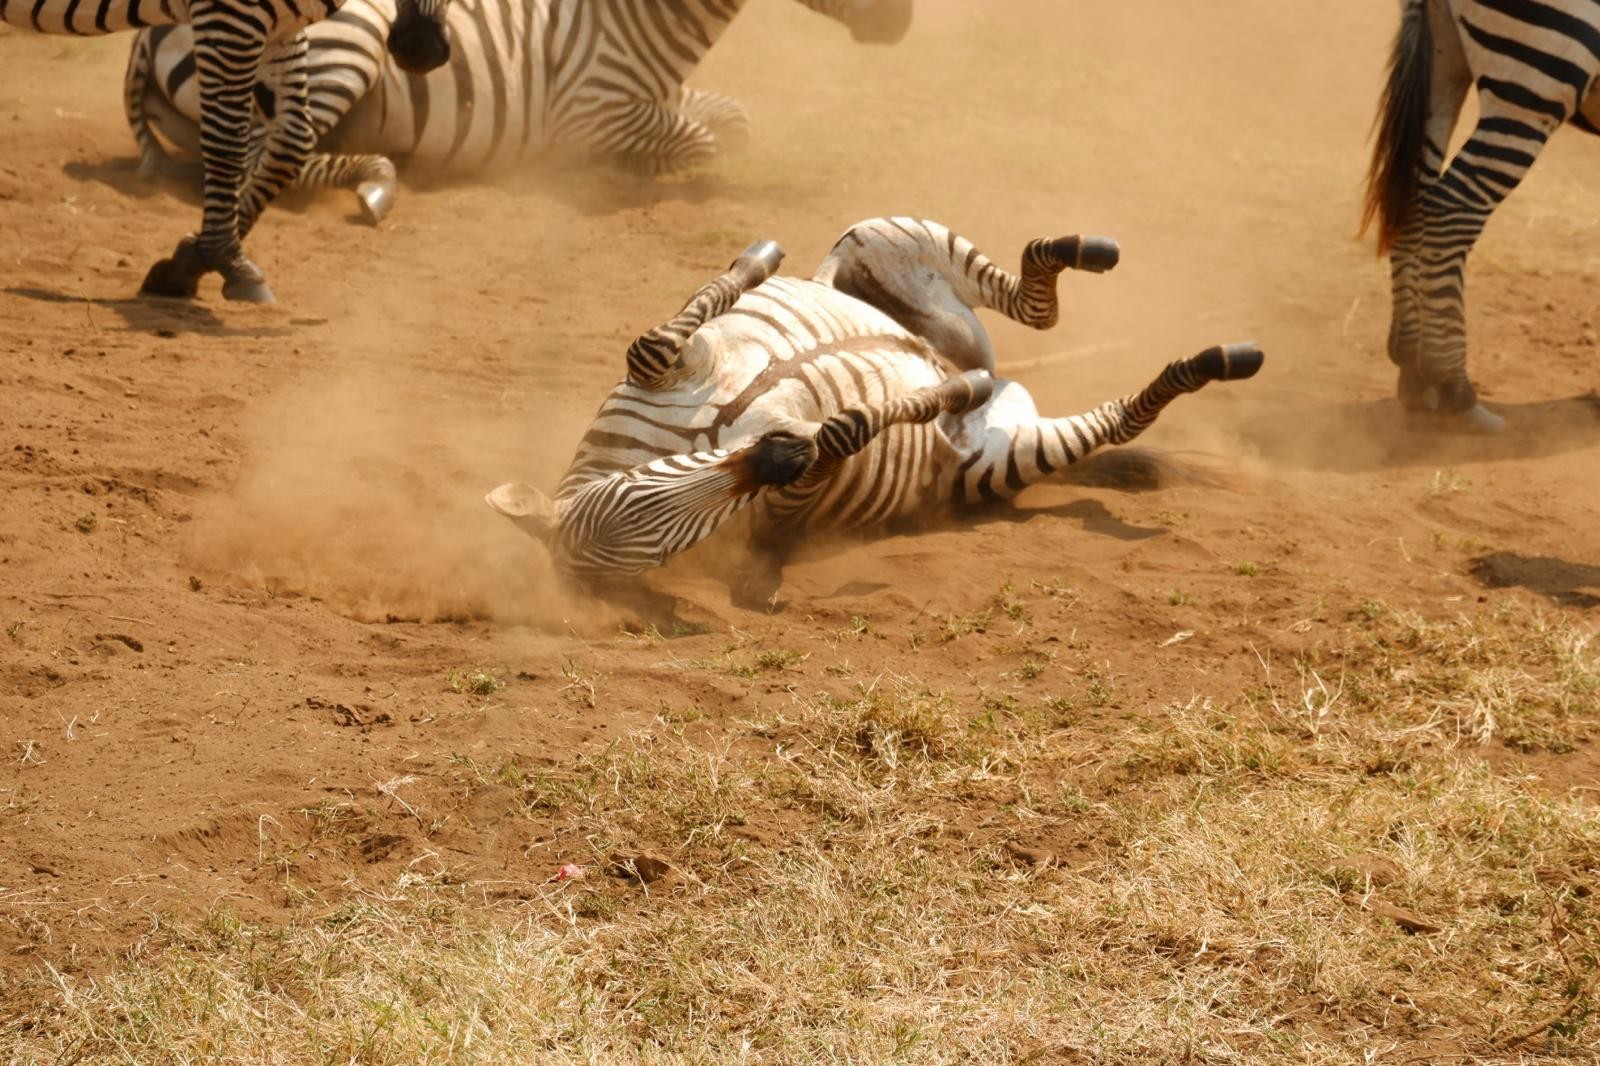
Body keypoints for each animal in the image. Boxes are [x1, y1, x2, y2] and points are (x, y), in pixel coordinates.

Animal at [2, 0, 451, 302]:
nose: (422, 48)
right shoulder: (231, 20)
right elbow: (230, 141)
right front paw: (228, 259)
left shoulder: (280, 25)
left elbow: (292, 142)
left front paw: (188, 261)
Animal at [123, 0, 913, 226]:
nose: (904, 24)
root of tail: (151, 29)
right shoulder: (586, 110)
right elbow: (698, 142)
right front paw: (624, 174)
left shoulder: (650, 96)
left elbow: (734, 121)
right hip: (348, 41)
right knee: (270, 155)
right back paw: (378, 175)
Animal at [484, 217, 1264, 600]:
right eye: (669, 550)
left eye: (640, 490)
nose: (779, 450)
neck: (706, 437)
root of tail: (990, 365)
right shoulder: (804, 486)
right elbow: (847, 429)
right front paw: (941, 399)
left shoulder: (669, 365)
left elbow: (655, 338)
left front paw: (756, 262)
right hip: (1004, 455)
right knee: (1123, 411)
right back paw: (1215, 361)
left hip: (884, 240)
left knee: (1029, 295)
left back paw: (1084, 252)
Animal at [1363, 0, 1600, 432]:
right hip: (1539, 71)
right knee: (1451, 208)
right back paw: (1453, 385)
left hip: (1443, 60)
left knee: (1415, 198)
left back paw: (1413, 367)